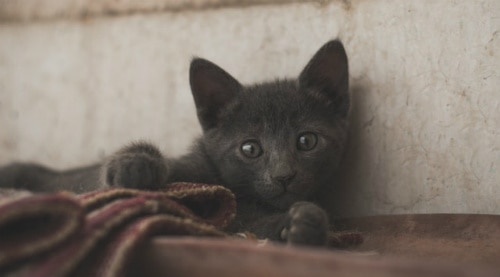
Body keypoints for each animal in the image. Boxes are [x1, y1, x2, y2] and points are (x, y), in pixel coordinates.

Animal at [0, 39, 348, 246]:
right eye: (250, 149)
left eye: (306, 141)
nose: (283, 175)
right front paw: (135, 165)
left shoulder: (243, 218)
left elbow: (252, 222)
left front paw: (303, 225)